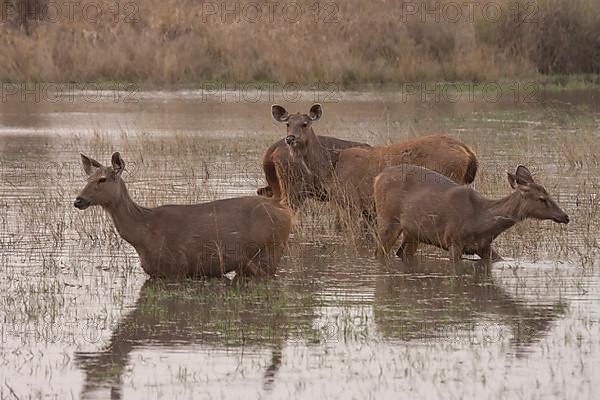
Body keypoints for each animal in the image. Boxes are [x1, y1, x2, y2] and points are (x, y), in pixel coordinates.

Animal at [74, 152, 294, 278]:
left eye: (102, 179)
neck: (143, 233)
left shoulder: (175, 268)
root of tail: (280, 204)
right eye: (88, 178)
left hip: (269, 253)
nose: (78, 200)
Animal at [272, 103, 478, 216]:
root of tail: (468, 151)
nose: (290, 139)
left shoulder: (351, 200)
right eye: (288, 123)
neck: (330, 168)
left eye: (305, 123)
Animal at [372, 163, 568, 262]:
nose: (565, 216)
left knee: (401, 253)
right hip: (388, 219)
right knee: (380, 251)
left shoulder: (483, 247)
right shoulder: (453, 240)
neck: (481, 221)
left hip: (413, 232)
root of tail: (378, 177)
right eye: (542, 198)